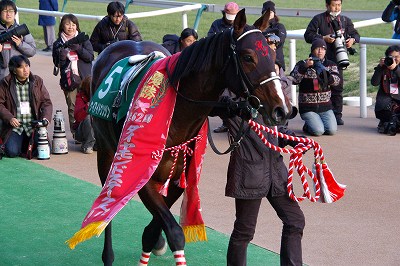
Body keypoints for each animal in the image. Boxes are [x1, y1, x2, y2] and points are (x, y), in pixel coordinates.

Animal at [91, 8, 294, 266]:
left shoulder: (180, 175)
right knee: (107, 202)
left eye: (271, 52)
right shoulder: (140, 171)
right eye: (248, 57)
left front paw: (155, 242)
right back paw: (107, 254)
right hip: (106, 153)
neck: (177, 115)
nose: (282, 109)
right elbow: (175, 232)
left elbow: (154, 228)